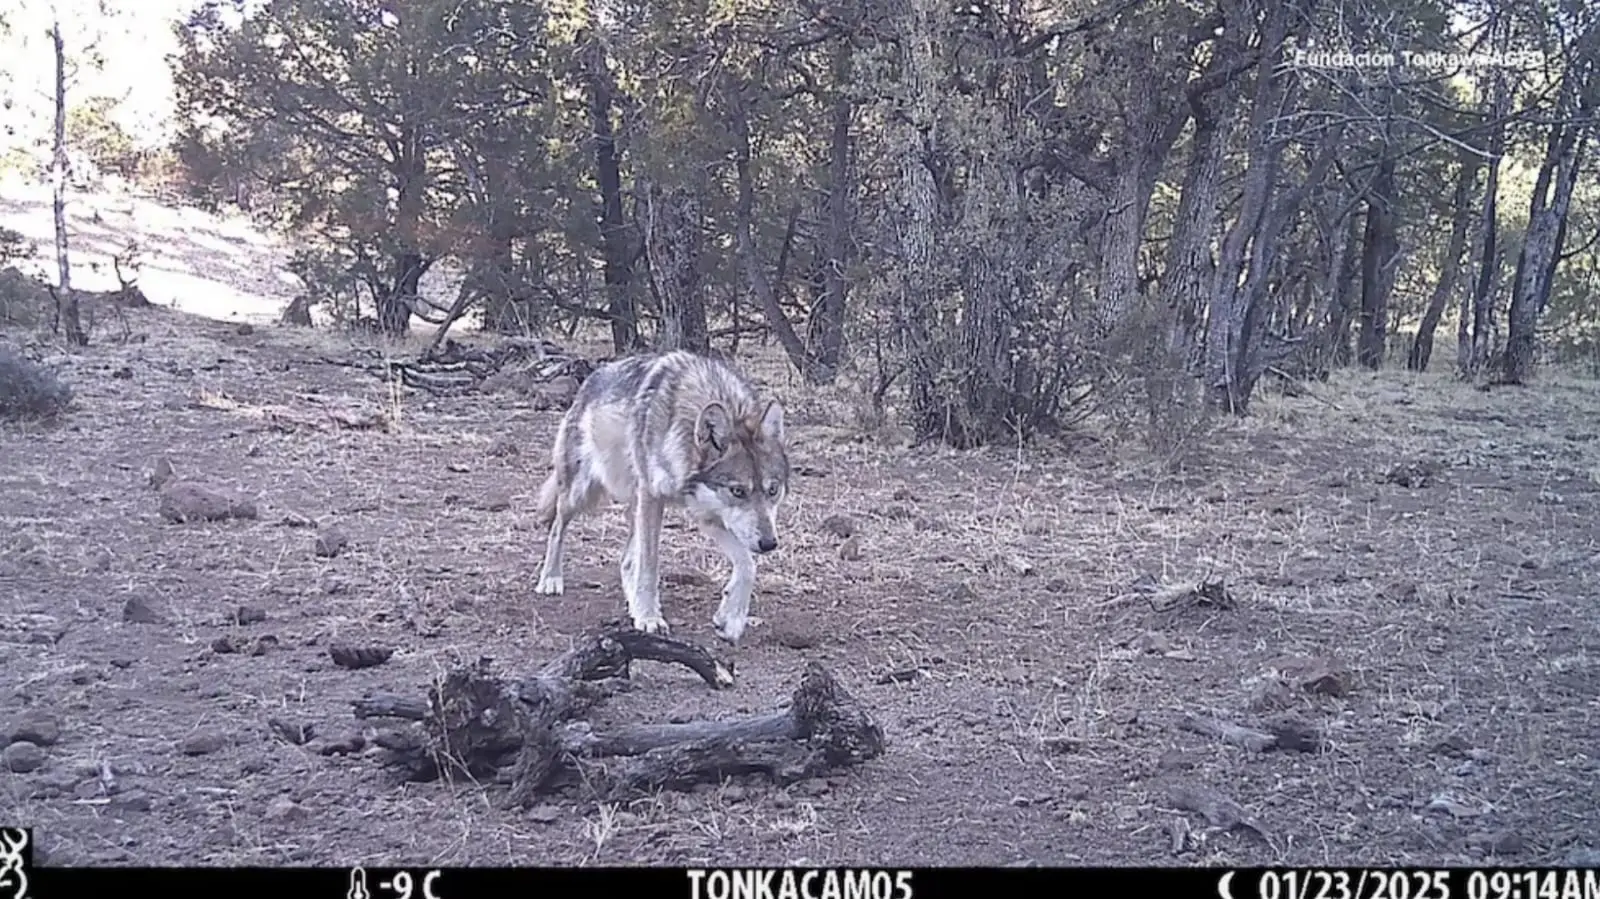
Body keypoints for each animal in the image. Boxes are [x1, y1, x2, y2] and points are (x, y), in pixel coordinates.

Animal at [532, 350, 790, 644]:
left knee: (626, 560)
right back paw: (551, 579)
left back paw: (631, 603)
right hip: (581, 493)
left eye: (773, 490)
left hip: (633, 504)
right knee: (557, 527)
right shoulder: (653, 497)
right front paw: (649, 618)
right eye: (738, 491)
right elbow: (650, 565)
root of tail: (590, 379)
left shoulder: (707, 514)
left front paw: (732, 619)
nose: (769, 543)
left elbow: (748, 565)